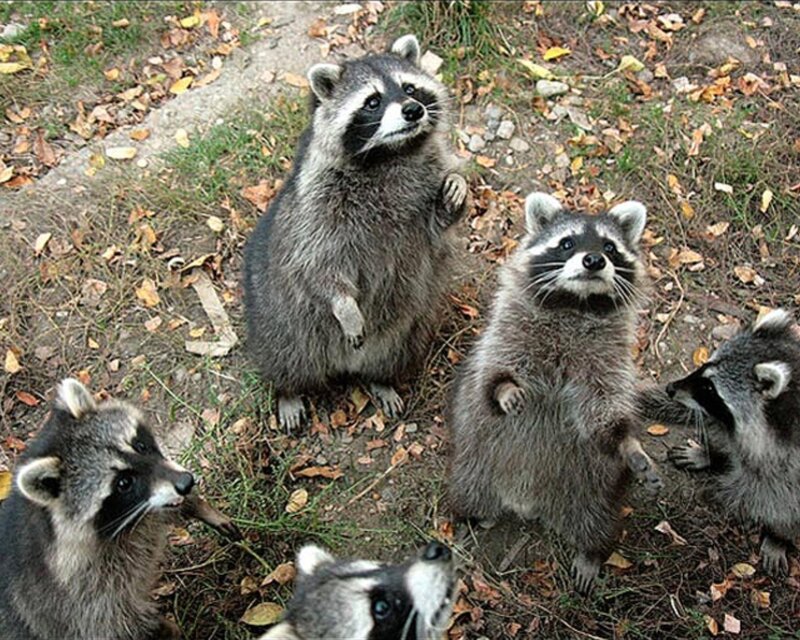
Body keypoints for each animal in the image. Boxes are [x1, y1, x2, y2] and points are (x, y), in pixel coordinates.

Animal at [0, 379, 239, 640]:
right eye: (124, 483)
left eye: (140, 445)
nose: (187, 482)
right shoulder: (76, 597)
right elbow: (120, 624)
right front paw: (166, 629)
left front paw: (199, 506)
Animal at [243, 34, 468, 429]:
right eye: (373, 101)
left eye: (410, 88)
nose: (413, 110)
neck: (391, 153)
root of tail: (343, 366)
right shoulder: (318, 202)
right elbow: (316, 263)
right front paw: (343, 304)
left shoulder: (427, 178)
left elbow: (435, 231)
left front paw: (454, 193)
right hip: (279, 317)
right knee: (285, 354)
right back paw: (287, 390)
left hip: (408, 330)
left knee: (396, 349)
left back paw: (381, 381)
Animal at [448, 192, 662, 593]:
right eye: (567, 243)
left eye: (610, 247)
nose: (594, 260)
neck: (576, 304)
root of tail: (526, 503)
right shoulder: (508, 332)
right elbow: (492, 373)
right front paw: (505, 389)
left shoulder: (607, 360)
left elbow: (604, 409)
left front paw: (627, 442)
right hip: (473, 465)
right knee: (468, 490)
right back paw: (468, 520)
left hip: (594, 487)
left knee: (598, 517)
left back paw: (592, 551)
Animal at [636, 309, 800, 574]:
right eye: (704, 366)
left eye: (709, 388)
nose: (671, 388)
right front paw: (712, 454)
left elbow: (779, 500)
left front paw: (779, 535)